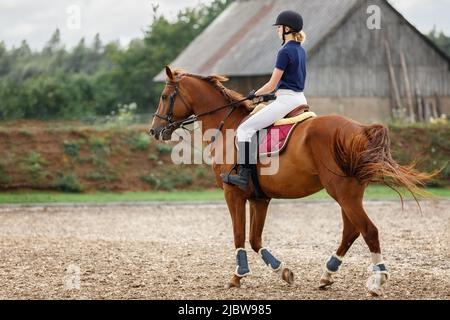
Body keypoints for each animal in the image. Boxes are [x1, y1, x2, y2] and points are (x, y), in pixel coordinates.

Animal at [150, 66, 432, 296]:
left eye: (164, 97)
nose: (154, 131)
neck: (228, 127)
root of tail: (359, 128)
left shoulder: (233, 193)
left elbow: (239, 235)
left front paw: (238, 276)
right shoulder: (259, 198)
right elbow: (255, 239)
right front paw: (282, 271)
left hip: (342, 192)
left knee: (368, 230)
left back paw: (377, 281)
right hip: (348, 193)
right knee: (351, 231)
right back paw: (327, 274)